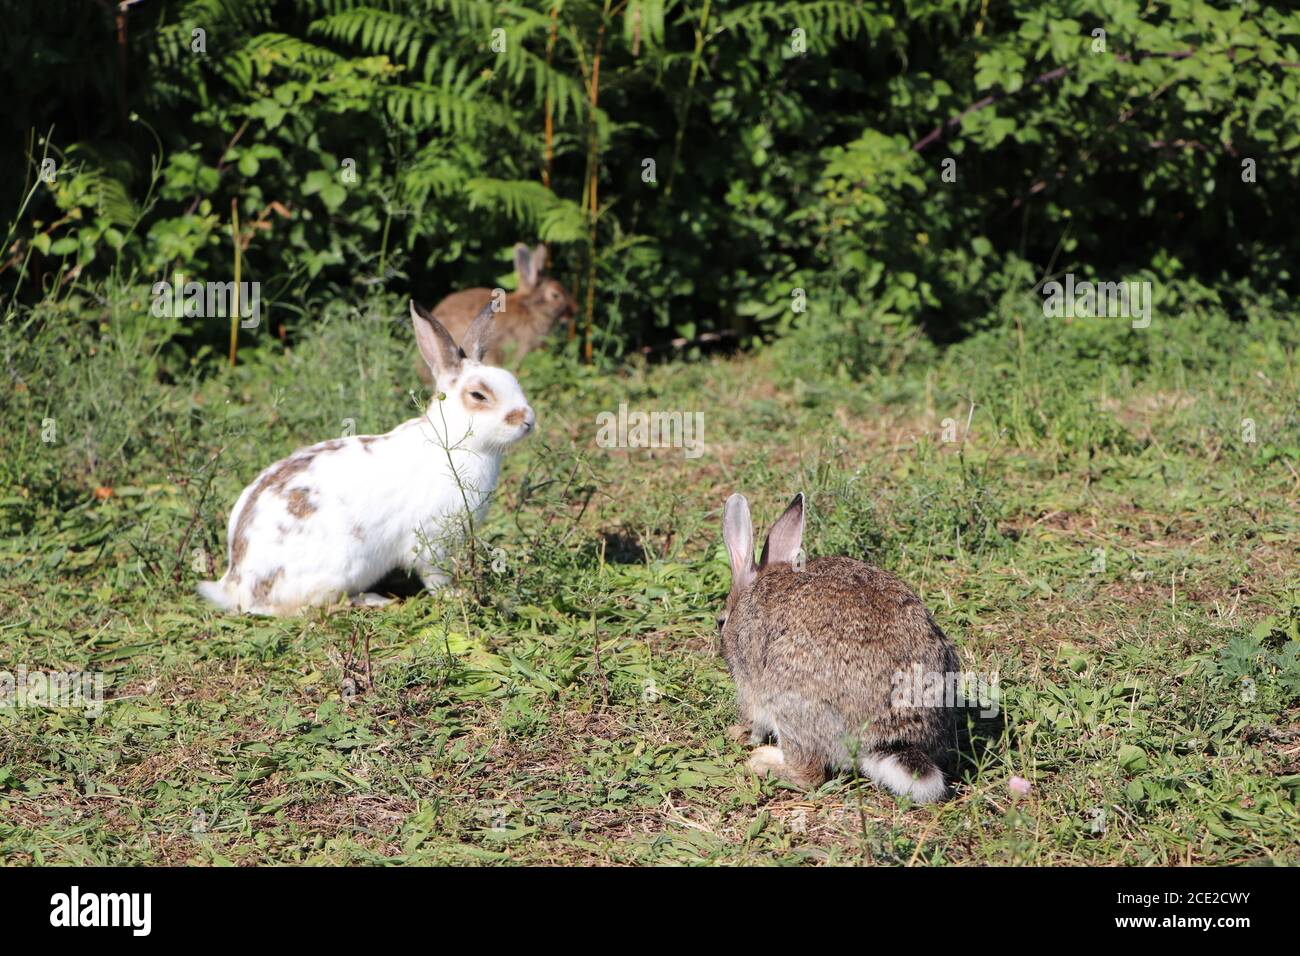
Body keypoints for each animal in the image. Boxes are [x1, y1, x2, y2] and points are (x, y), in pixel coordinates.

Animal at [197, 300, 536, 616]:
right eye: (478, 395)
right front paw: (457, 595)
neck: (454, 440)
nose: (528, 420)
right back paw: (373, 600)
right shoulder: (431, 541)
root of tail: (238, 582)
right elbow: (435, 577)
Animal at [718, 492, 958, 802]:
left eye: (721, 621)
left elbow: (754, 720)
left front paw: (739, 732)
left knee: (809, 773)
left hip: (790, 700)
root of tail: (885, 738)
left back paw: (762, 761)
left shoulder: (750, 686)